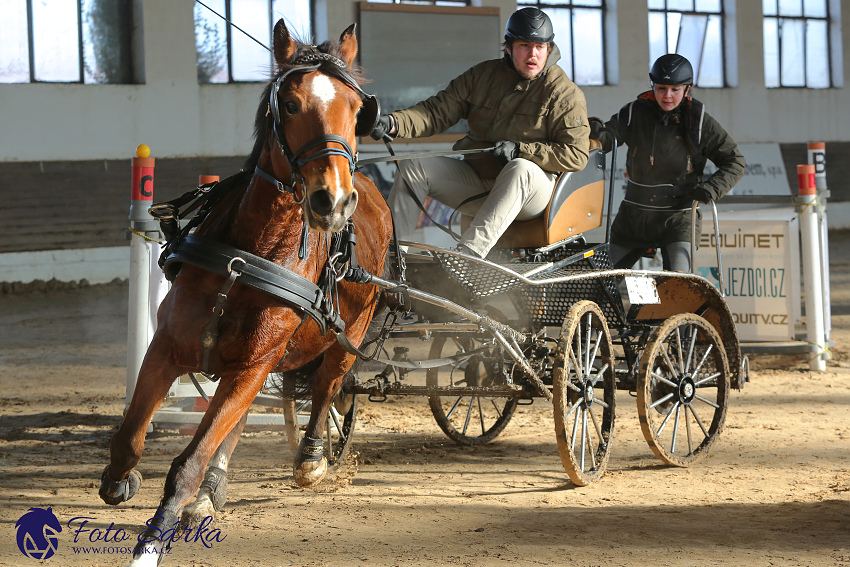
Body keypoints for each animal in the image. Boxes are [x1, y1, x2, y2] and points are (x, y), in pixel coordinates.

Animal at [99, 20, 390, 564]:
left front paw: (151, 543)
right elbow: (130, 436)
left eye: (356, 108)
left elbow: (188, 463)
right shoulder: (168, 346)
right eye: (290, 104)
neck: (248, 256)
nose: (333, 200)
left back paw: (310, 457)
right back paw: (213, 489)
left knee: (327, 385)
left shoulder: (254, 364)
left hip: (349, 335)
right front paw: (120, 479)